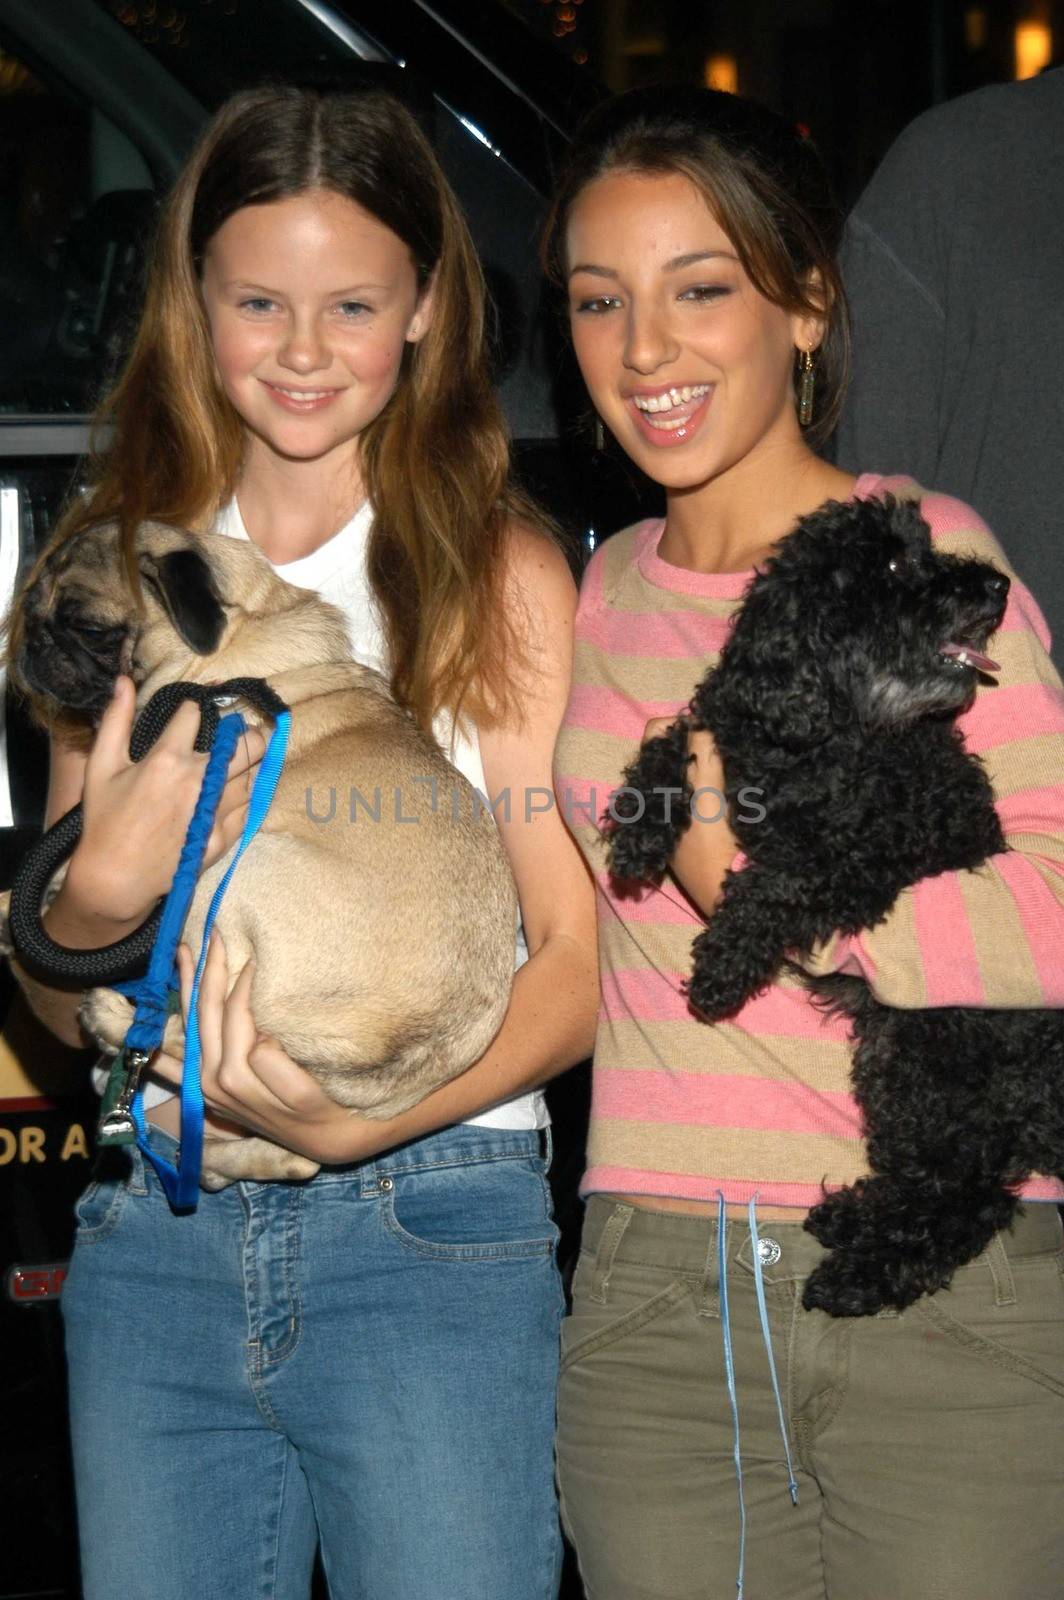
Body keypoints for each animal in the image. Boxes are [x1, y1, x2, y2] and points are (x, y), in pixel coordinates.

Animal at [4, 524, 518, 1190]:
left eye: (89, 627)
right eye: (33, 608)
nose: (33, 642)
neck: (220, 664)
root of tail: (398, 1052)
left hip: (226, 876)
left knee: (191, 1036)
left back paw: (118, 1021)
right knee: (296, 1154)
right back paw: (213, 1160)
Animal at [604, 492, 1062, 1318]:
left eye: (925, 547)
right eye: (896, 563)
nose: (997, 587)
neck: (829, 739)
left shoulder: (864, 858)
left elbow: (776, 883)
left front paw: (722, 966)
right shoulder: (725, 726)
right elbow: (669, 744)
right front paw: (637, 832)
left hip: (924, 1062)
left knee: (969, 1198)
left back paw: (857, 1276)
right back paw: (850, 1217)